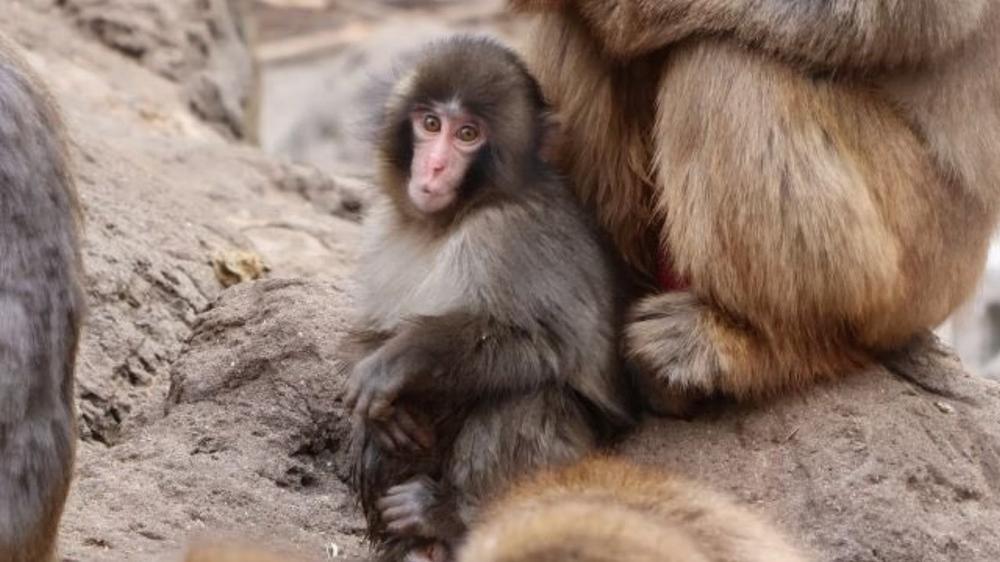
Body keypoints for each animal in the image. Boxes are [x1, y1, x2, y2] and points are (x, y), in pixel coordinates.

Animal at [342, 35, 633, 562]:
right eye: (430, 124)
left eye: (468, 134)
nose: (435, 166)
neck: (450, 220)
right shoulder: (383, 227)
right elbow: (373, 332)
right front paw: (382, 404)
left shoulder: (509, 234)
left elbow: (545, 342)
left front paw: (402, 359)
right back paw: (413, 543)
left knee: (527, 392)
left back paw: (449, 519)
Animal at [508, 1, 1000, 414]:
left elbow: (903, 17)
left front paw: (616, 13)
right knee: (579, 35)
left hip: (921, 245)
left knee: (725, 59)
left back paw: (763, 345)